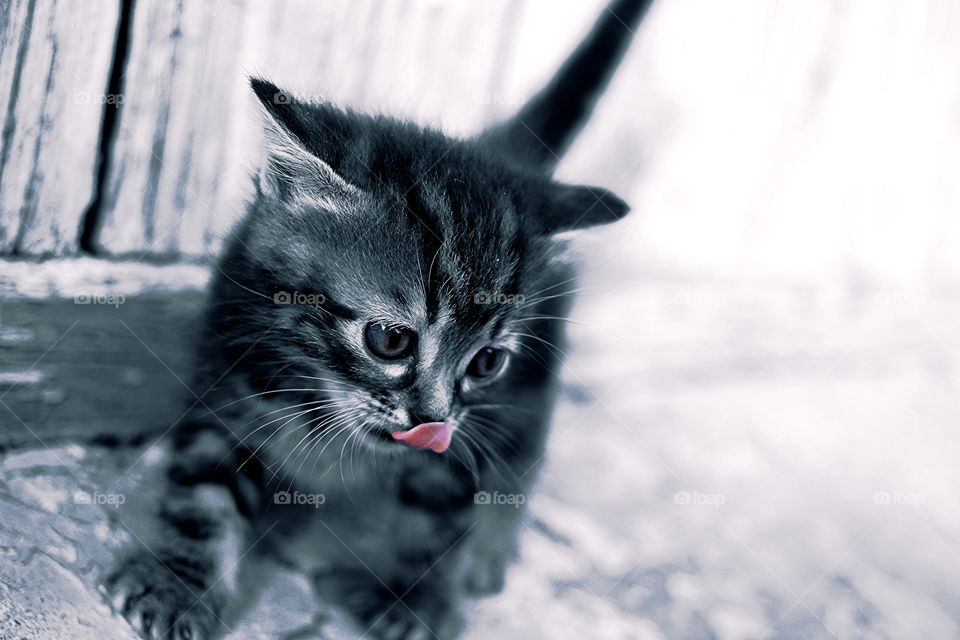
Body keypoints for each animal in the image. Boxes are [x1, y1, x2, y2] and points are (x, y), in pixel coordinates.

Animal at [105, 2, 652, 636]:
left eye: (487, 362)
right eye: (390, 340)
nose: (432, 418)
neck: (316, 400)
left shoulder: (468, 433)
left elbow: (440, 516)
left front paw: (415, 600)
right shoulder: (227, 376)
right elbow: (203, 492)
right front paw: (175, 582)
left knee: (522, 449)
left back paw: (488, 552)